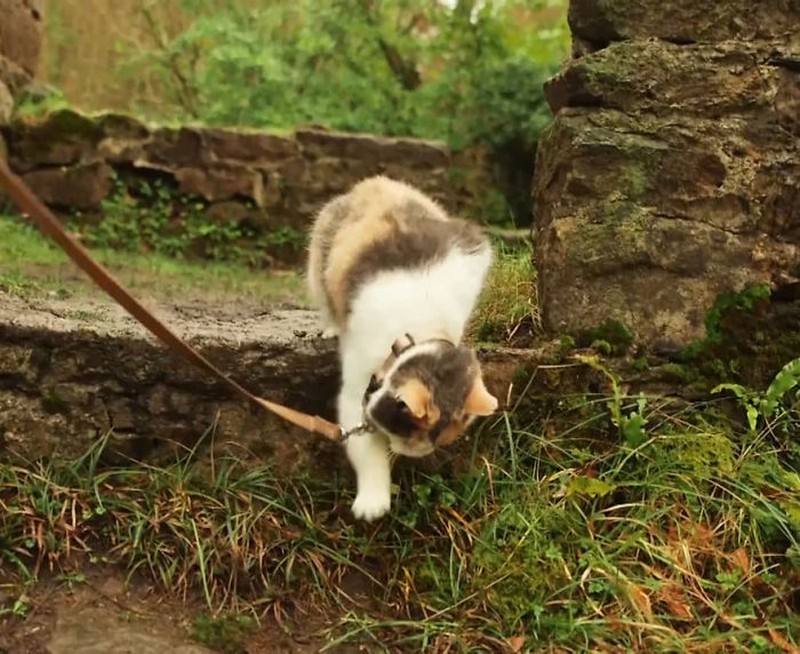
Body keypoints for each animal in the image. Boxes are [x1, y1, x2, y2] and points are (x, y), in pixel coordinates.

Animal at [304, 176, 496, 524]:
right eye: (405, 434)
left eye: (438, 442)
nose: (411, 453)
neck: (416, 328)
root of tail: (376, 182)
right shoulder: (357, 389)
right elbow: (364, 446)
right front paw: (373, 501)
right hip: (319, 254)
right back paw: (331, 326)